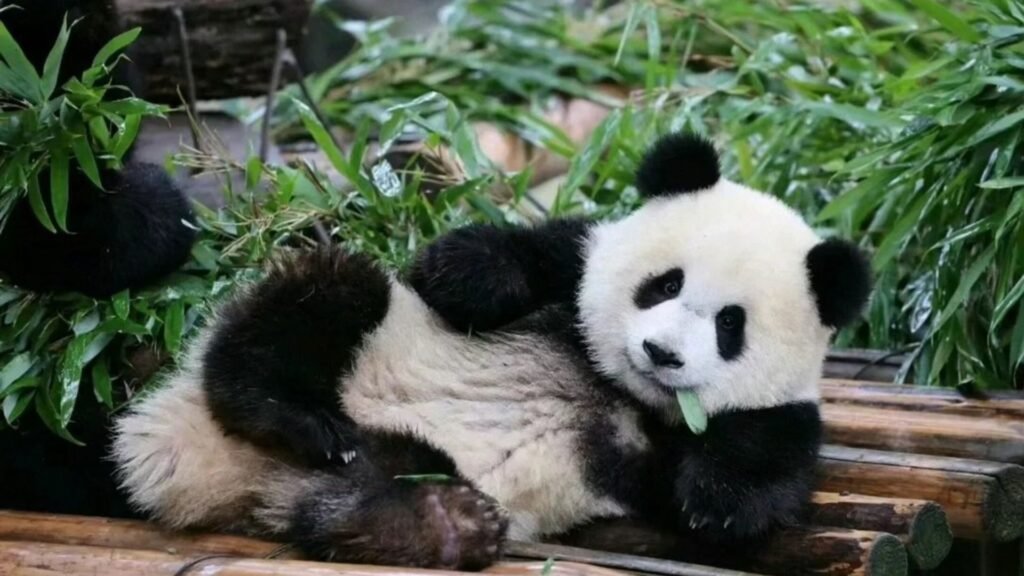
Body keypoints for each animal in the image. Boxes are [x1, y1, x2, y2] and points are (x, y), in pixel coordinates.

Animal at [112, 133, 871, 570]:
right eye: (664, 283)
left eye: (729, 325)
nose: (661, 353)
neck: (617, 387)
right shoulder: (569, 261)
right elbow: (477, 262)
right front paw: (478, 277)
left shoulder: (776, 416)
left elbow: (758, 478)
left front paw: (714, 499)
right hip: (351, 346)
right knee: (322, 300)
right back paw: (294, 414)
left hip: (393, 460)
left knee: (346, 500)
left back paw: (441, 524)